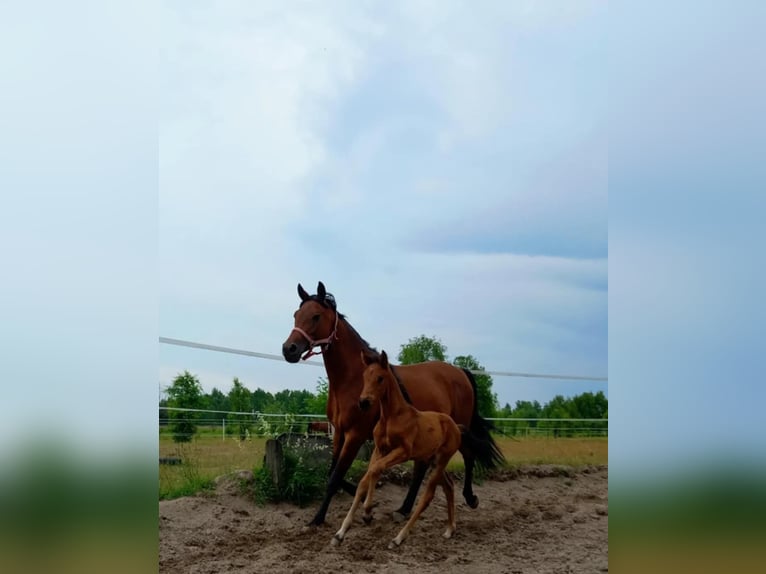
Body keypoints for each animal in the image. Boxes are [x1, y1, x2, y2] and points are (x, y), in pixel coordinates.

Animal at [280, 282, 504, 528]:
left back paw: (470, 498)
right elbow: (334, 474)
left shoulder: (355, 434)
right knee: (421, 468)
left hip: (458, 428)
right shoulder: (339, 432)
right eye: (296, 314)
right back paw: (403, 509)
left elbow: (335, 477)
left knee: (468, 455)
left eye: (316, 316)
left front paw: (318, 519)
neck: (354, 378)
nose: (289, 349)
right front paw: (366, 500)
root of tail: (460, 372)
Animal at [332, 354, 462, 552]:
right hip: (432, 459)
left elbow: (375, 470)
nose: (363, 402)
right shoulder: (379, 449)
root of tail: (455, 426)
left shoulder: (403, 452)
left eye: (380, 378)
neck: (391, 416)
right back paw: (450, 529)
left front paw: (368, 510)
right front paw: (341, 532)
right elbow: (366, 479)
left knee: (427, 496)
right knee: (448, 486)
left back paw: (398, 538)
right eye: (364, 376)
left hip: (441, 460)